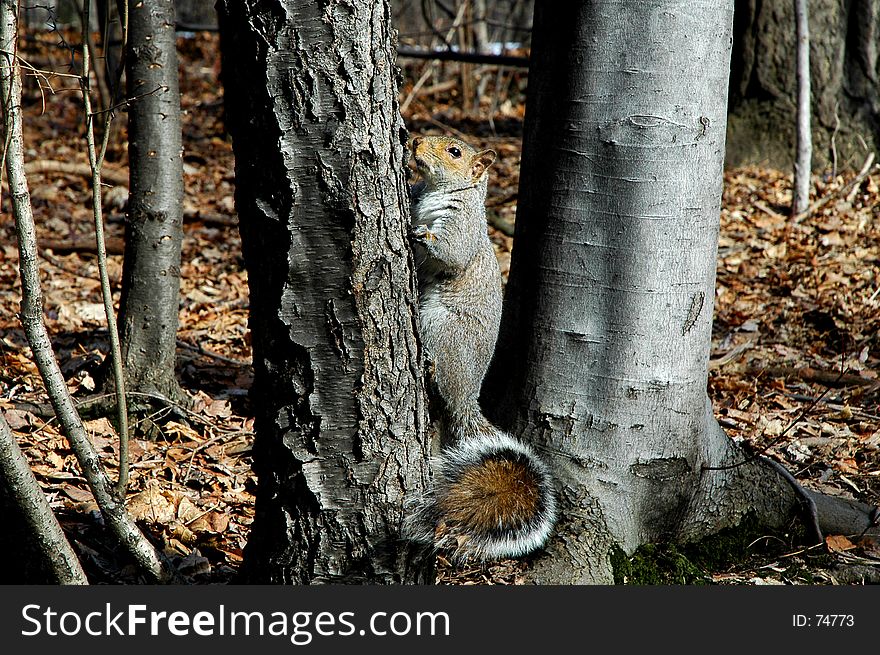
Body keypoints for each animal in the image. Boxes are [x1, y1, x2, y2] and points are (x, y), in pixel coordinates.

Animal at [400, 136, 552, 560]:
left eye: (454, 152)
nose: (414, 140)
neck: (441, 192)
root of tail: (469, 397)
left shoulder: (462, 228)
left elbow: (450, 253)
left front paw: (423, 234)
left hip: (444, 327)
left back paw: (431, 366)